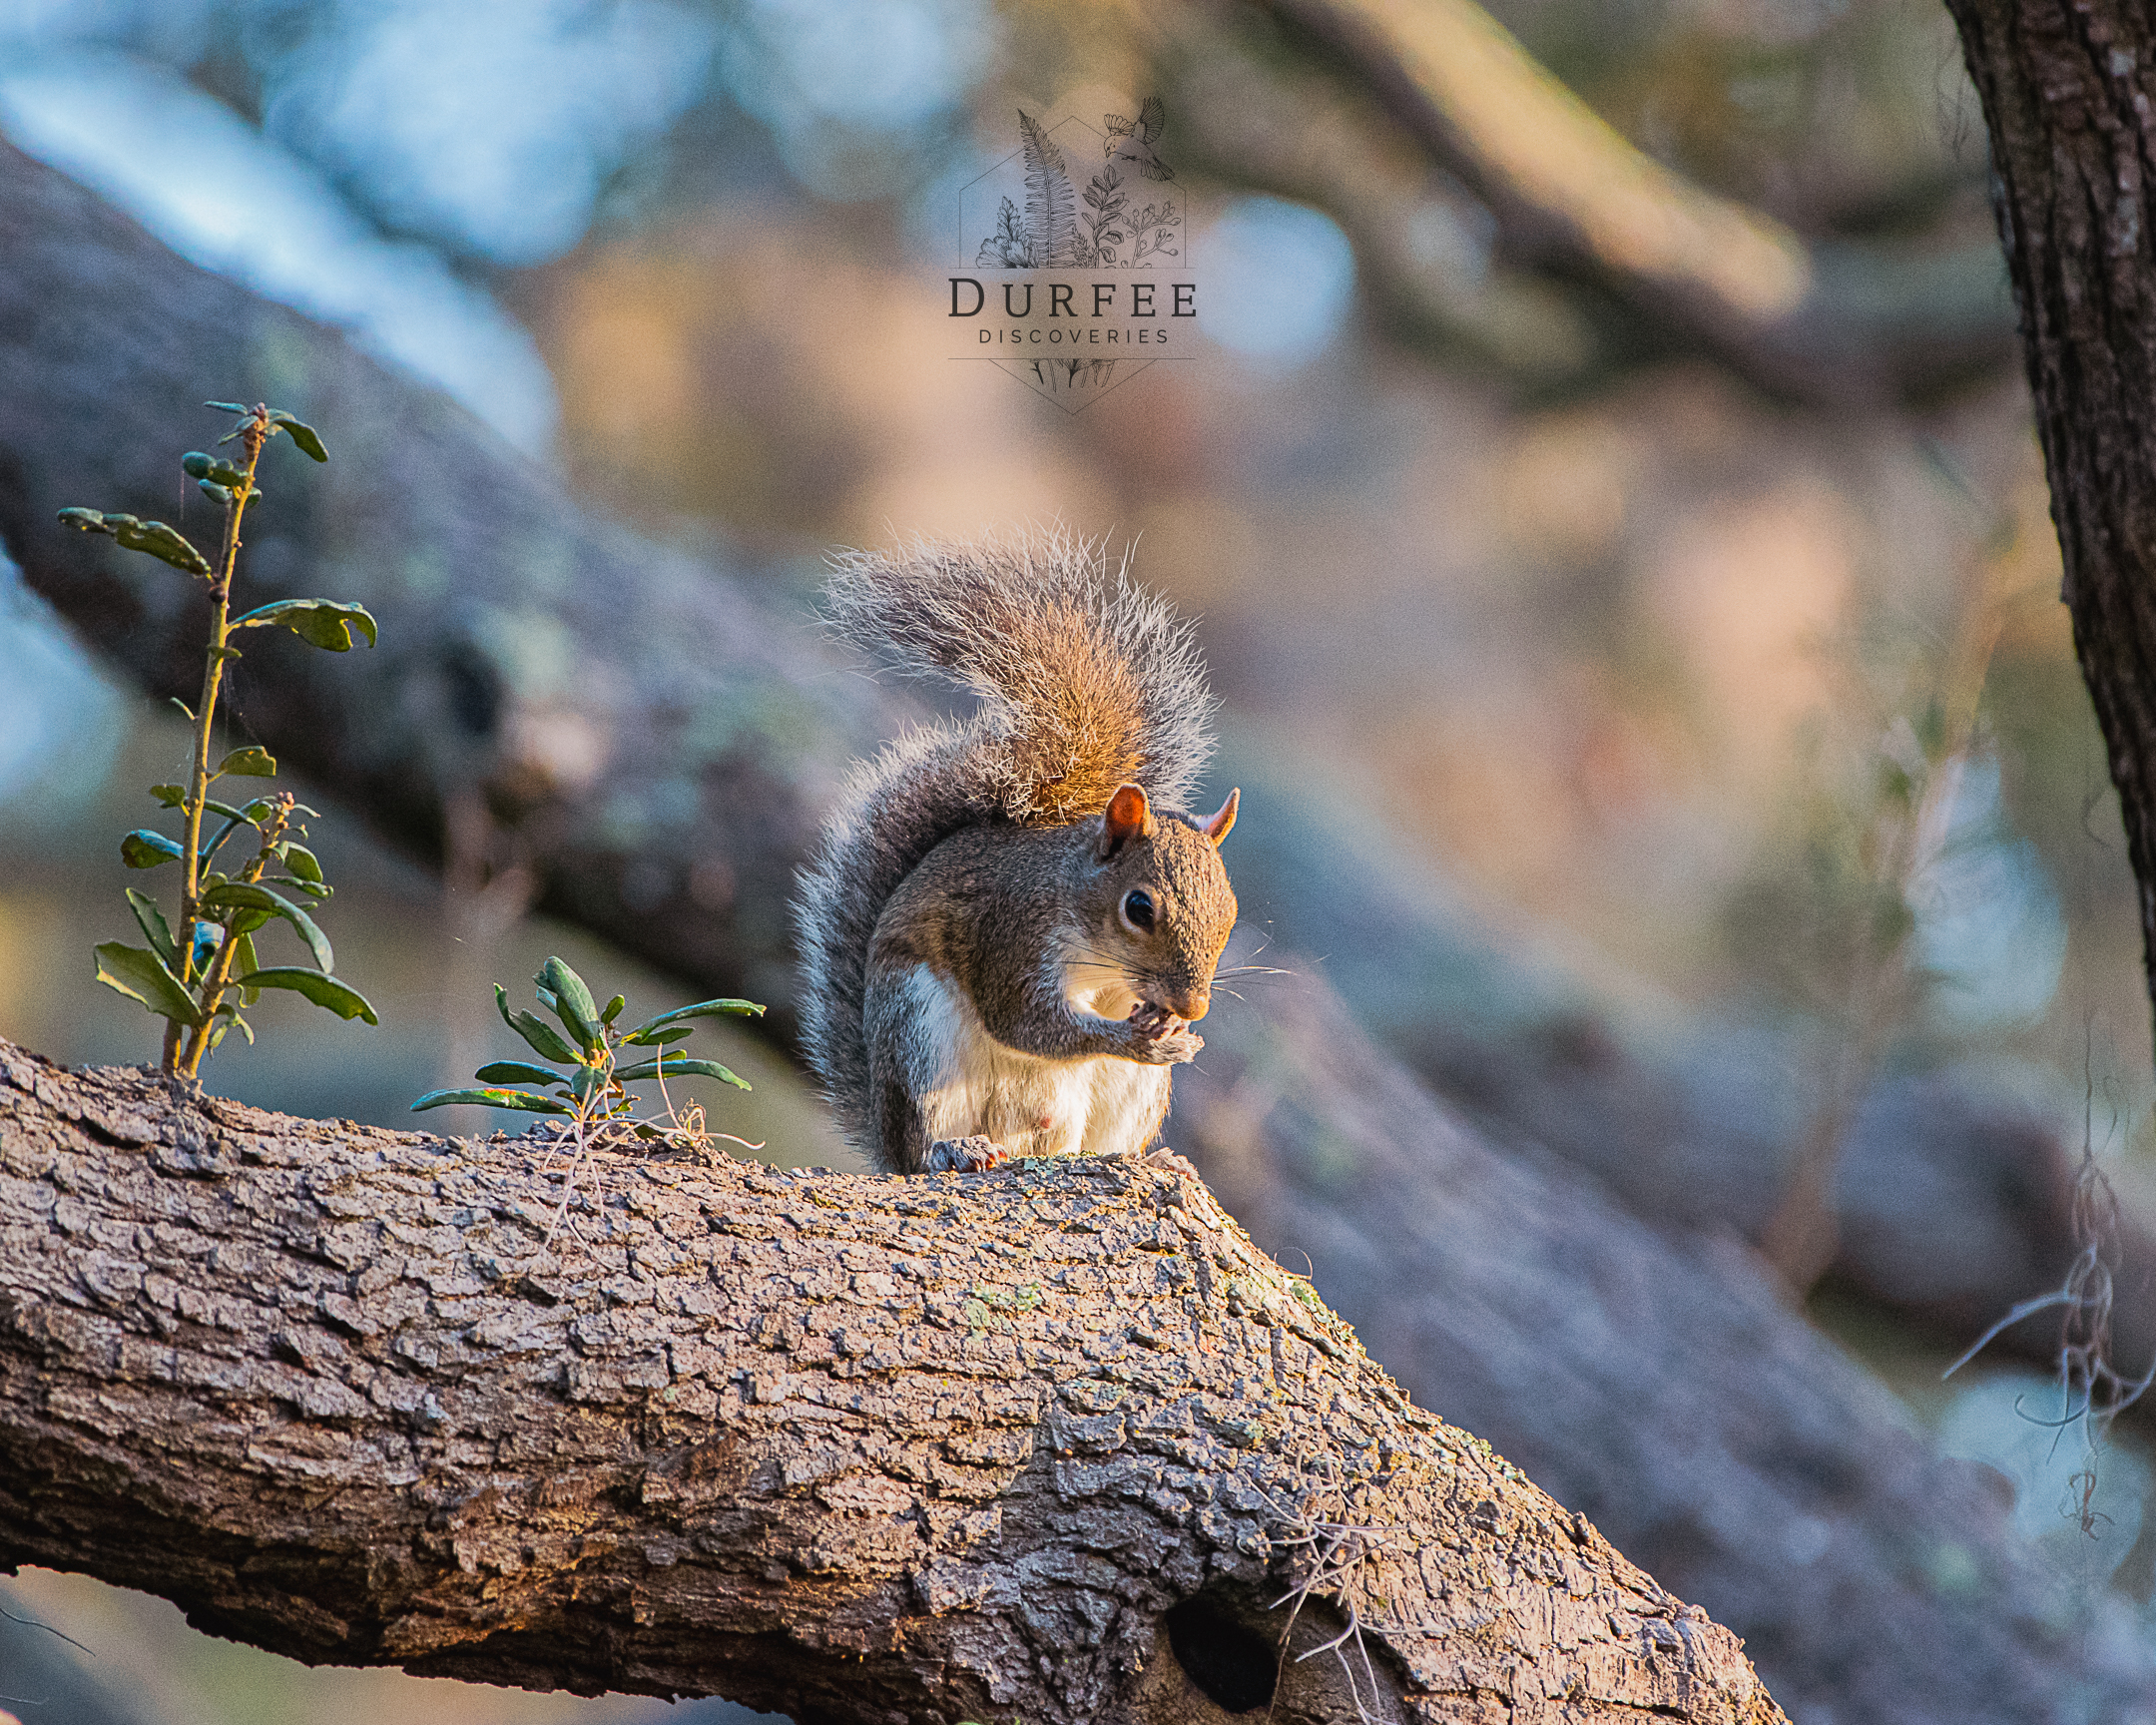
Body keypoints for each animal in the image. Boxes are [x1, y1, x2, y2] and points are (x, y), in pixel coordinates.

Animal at [793, 533, 1241, 1175]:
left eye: (1230, 914)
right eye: (1139, 908)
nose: (1194, 1005)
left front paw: (1177, 1029)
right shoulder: (1008, 934)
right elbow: (1026, 1022)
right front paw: (1131, 1038)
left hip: (1126, 1096)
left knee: (1097, 1145)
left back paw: (1153, 1160)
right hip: (919, 1037)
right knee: (924, 1144)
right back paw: (955, 1150)